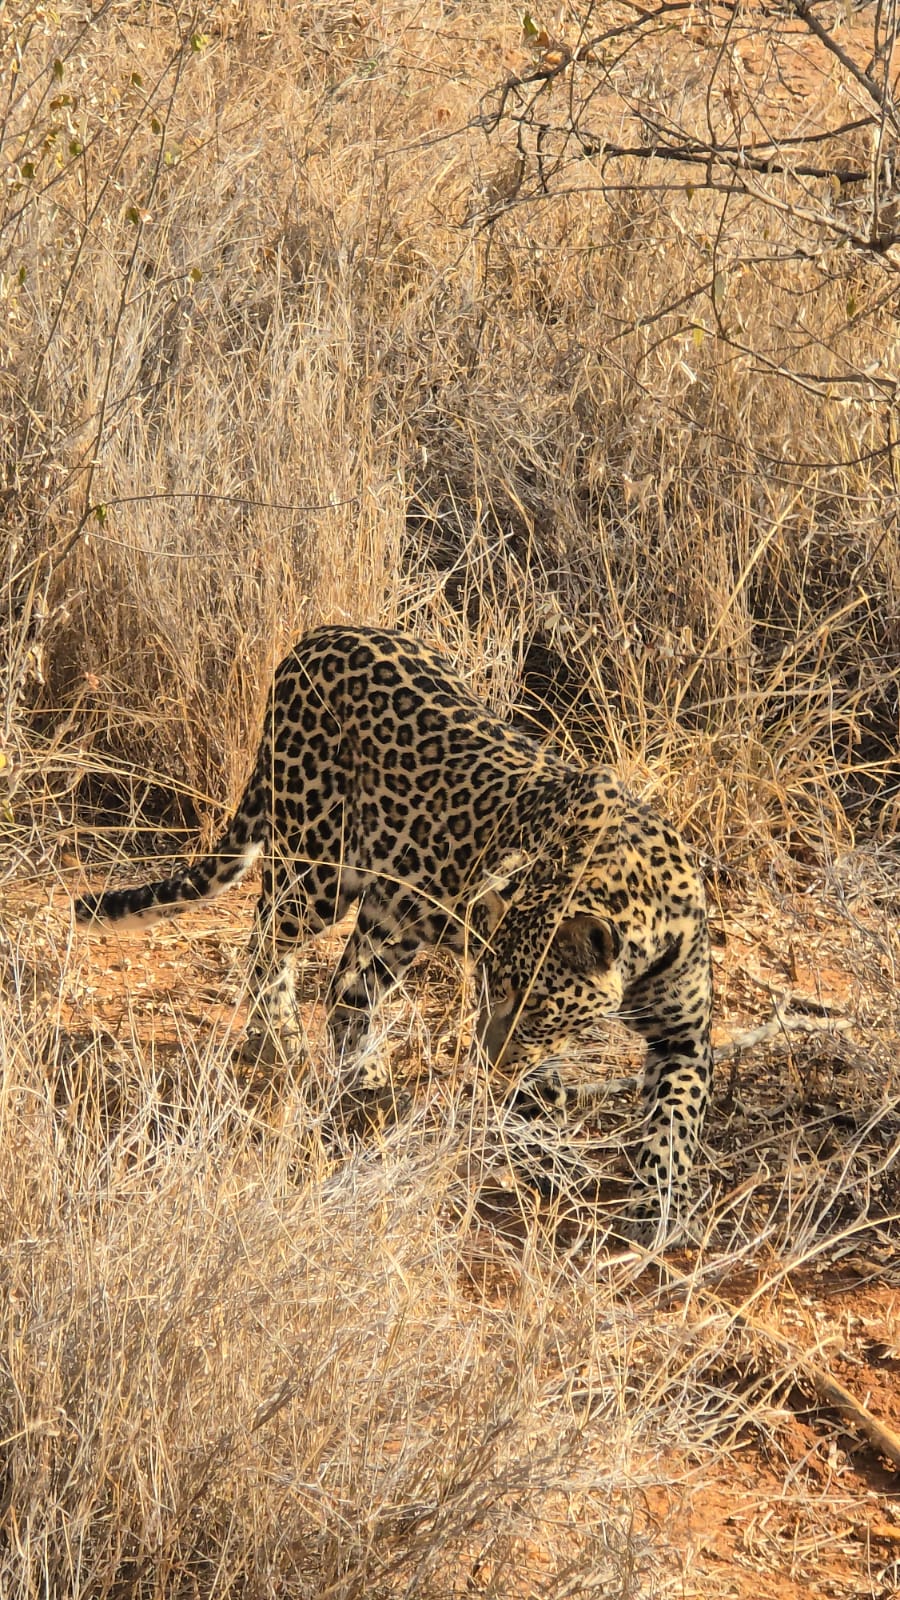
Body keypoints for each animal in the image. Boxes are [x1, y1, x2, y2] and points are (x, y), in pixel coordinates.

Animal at [75, 624, 714, 1234]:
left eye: (534, 1007)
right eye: (491, 993)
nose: (491, 1060)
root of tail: (312, 639)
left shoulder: (683, 1034)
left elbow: (676, 1119)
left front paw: (661, 1208)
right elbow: (538, 1097)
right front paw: (551, 1158)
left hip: (401, 908)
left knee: (346, 987)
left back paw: (369, 1080)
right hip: (316, 865)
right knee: (265, 942)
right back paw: (282, 1041)